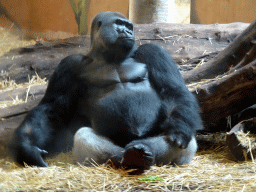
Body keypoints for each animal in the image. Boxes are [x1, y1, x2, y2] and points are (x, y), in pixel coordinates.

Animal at [11, 11, 203, 175]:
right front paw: (28, 148)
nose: (128, 31)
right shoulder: (69, 65)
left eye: (129, 26)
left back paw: (145, 152)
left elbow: (174, 91)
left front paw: (179, 130)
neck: (108, 55)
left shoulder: (154, 51)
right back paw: (128, 157)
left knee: (186, 142)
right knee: (84, 136)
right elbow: (52, 108)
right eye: (119, 24)